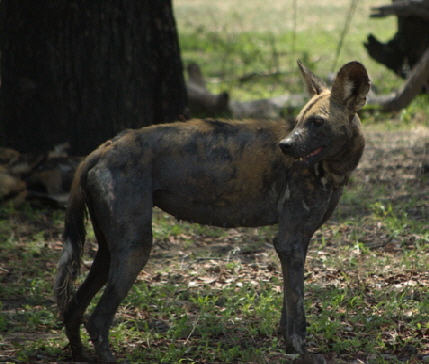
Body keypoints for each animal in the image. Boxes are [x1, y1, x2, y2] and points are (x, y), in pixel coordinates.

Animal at [53, 61, 368, 360]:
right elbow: (298, 316)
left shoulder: (297, 243)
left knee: (73, 309)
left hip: (109, 252)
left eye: (317, 122)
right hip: (135, 249)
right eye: (300, 122)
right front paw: (299, 352)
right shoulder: (290, 243)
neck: (333, 169)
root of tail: (105, 147)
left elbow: (288, 308)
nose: (286, 146)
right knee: (97, 320)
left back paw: (79, 355)